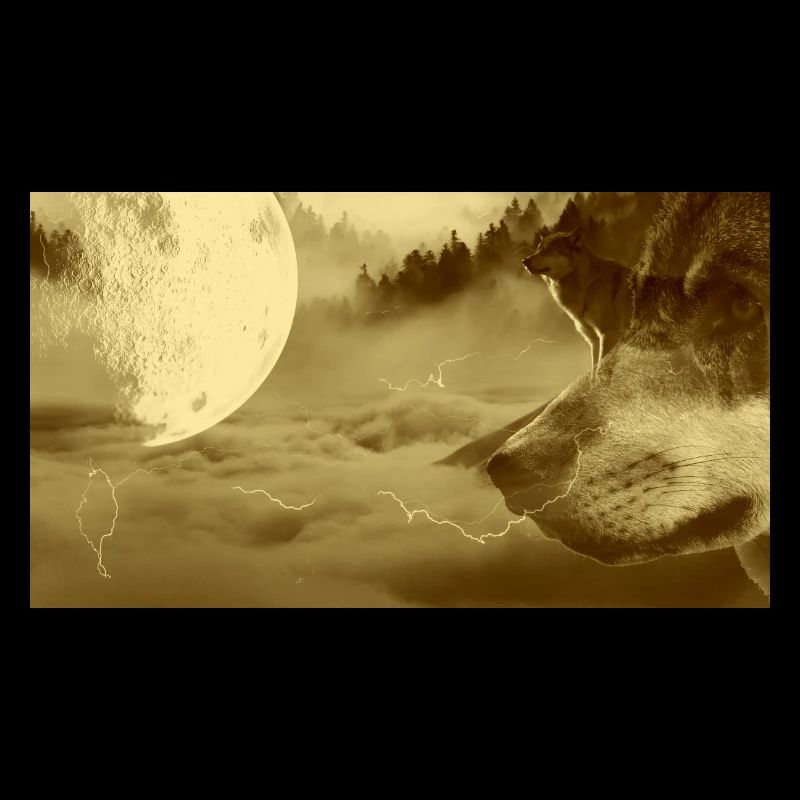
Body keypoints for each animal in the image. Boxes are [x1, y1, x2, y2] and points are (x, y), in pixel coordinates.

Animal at [522, 228, 633, 373]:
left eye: (548, 250)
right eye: (537, 249)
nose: (524, 261)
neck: (587, 285)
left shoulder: (607, 333)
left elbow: (600, 371)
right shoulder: (593, 341)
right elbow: (594, 370)